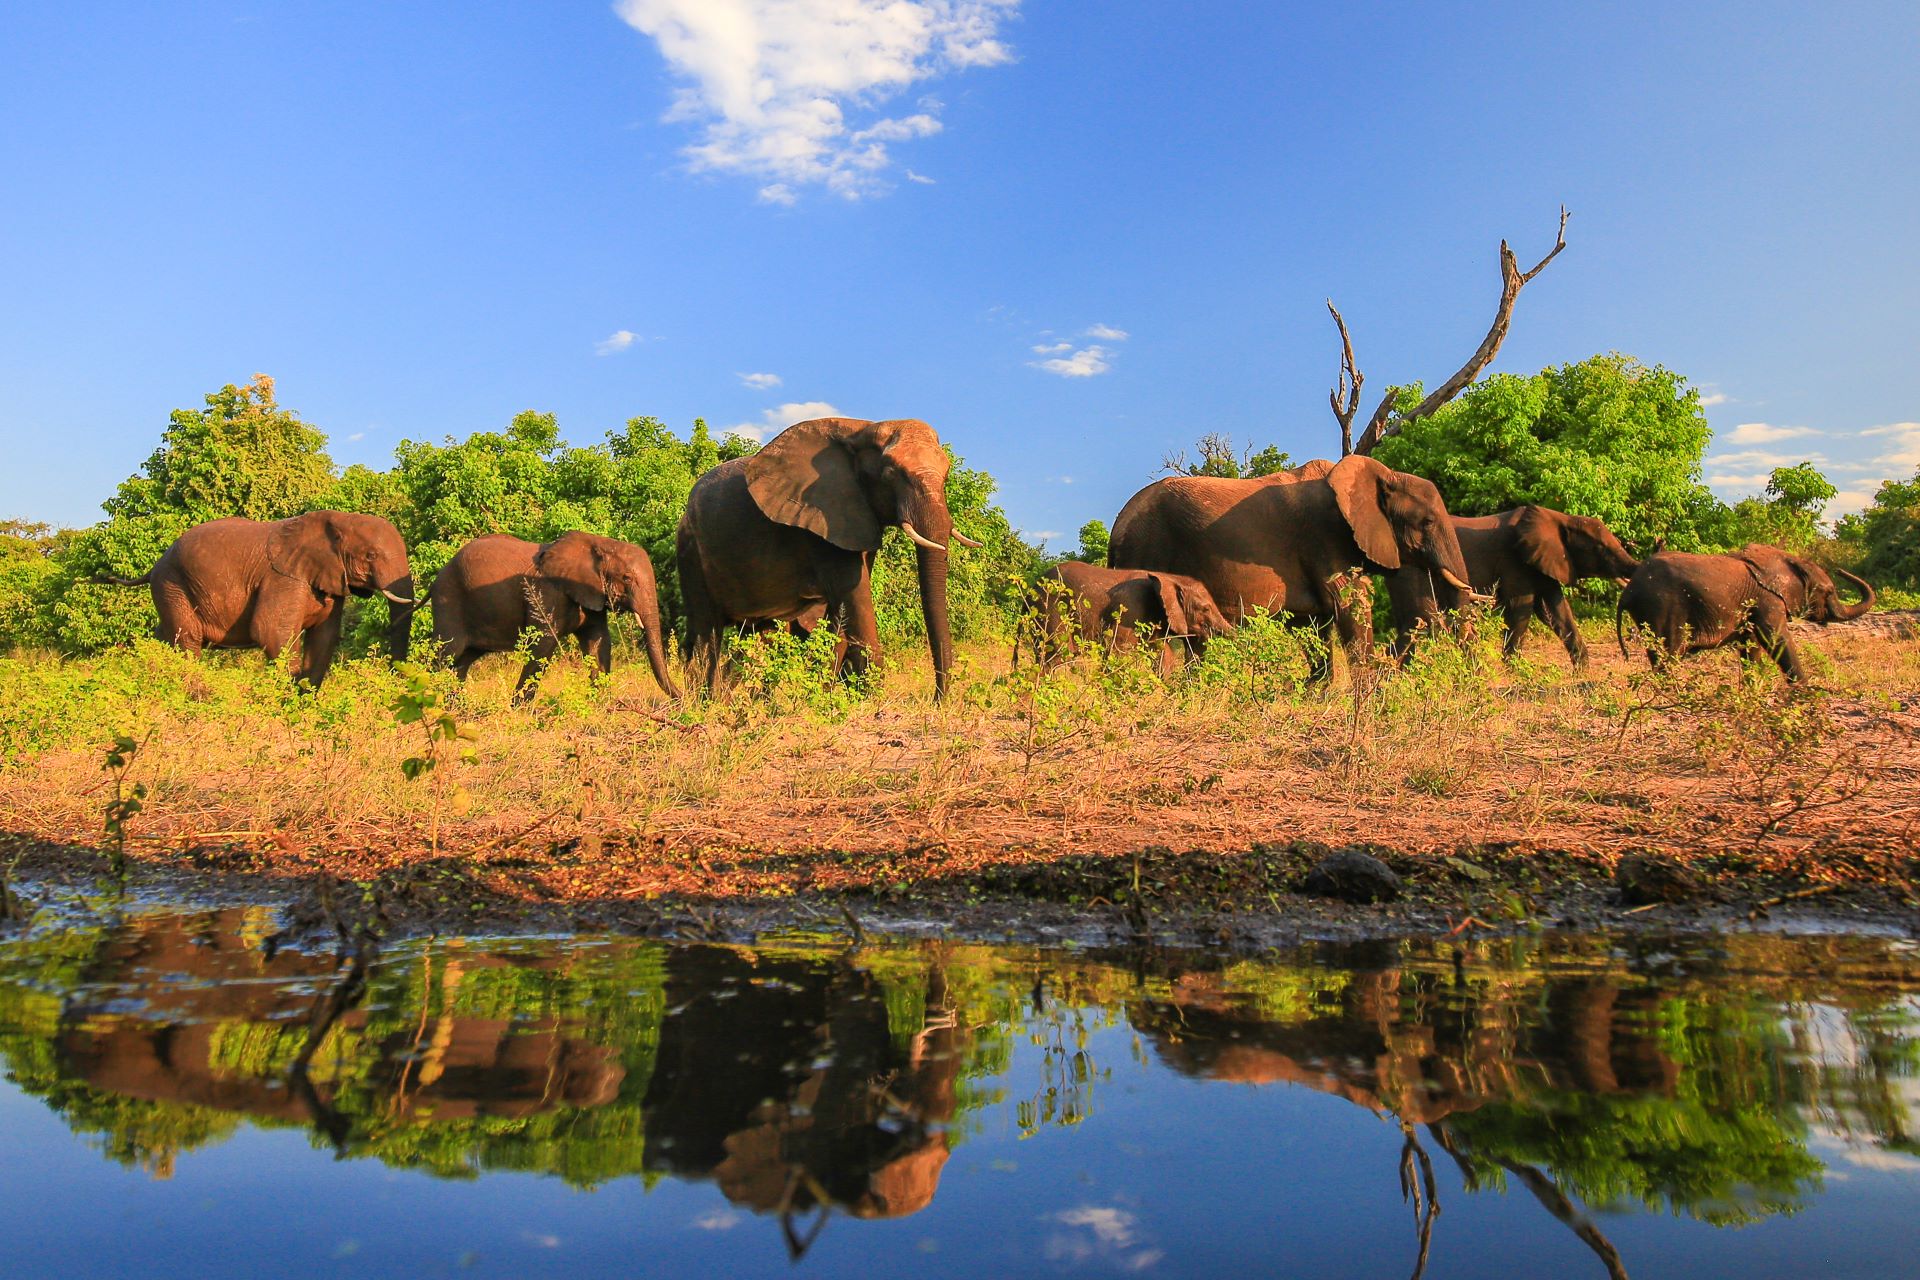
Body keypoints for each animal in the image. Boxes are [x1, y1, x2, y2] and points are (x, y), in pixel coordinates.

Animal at [430, 537, 683, 706]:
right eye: (627, 578)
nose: (684, 697)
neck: (598, 543)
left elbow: (598, 642)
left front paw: (601, 703)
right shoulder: (547, 593)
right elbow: (543, 644)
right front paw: (518, 709)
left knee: (462, 661)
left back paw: (456, 708)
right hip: (448, 601)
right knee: (445, 653)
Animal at [675, 418, 975, 702]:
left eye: (947, 473)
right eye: (890, 473)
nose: (937, 700)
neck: (863, 429)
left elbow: (840, 619)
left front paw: (826, 697)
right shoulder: (822, 522)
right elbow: (856, 603)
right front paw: (869, 700)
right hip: (691, 551)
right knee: (706, 634)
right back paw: (706, 704)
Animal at [1013, 564, 1236, 675]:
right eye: (1205, 609)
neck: (1169, 578)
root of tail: (1029, 590)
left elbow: (1163, 655)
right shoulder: (1130, 608)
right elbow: (1119, 651)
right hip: (1050, 608)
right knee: (1055, 654)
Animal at [1443, 502, 1643, 667]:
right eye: (1600, 548)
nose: (1626, 656)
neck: (1562, 518)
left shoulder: (1545, 560)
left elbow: (1557, 610)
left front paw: (1582, 671)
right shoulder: (1514, 560)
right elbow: (1520, 608)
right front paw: (1514, 671)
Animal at [1620, 545, 1873, 687]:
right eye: (1828, 592)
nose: (1840, 569)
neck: (1789, 560)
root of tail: (1629, 590)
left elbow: (1751, 647)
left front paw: (1755, 688)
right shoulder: (1768, 600)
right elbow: (1777, 639)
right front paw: (1805, 690)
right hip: (1662, 607)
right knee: (1668, 655)